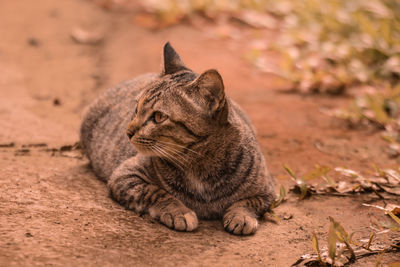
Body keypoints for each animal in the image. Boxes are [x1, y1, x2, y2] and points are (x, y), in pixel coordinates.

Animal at [80, 43, 276, 236]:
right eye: (136, 109)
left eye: (159, 117)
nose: (128, 132)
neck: (200, 167)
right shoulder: (125, 175)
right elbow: (156, 192)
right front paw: (180, 211)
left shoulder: (268, 189)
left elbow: (248, 202)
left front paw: (241, 216)